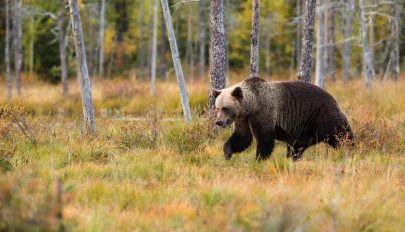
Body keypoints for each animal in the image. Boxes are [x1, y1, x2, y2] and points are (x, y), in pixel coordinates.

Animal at [213, 77, 352, 160]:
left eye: (225, 108)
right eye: (217, 108)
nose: (219, 122)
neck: (252, 106)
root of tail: (333, 98)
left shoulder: (264, 112)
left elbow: (264, 138)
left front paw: (259, 158)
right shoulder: (244, 119)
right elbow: (242, 137)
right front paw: (227, 153)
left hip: (323, 117)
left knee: (341, 135)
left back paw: (350, 150)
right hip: (304, 130)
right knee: (296, 147)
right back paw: (292, 158)